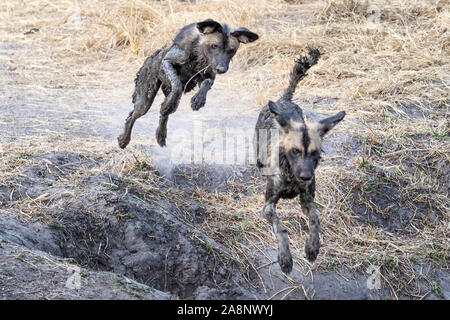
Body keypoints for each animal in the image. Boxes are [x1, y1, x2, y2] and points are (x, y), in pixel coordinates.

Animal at [118, 17, 258, 148]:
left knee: (164, 114)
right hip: (144, 102)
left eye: (231, 50)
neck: (199, 53)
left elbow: (206, 84)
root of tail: (153, 54)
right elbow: (177, 85)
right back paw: (123, 140)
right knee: (132, 117)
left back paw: (161, 135)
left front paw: (198, 100)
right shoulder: (167, 63)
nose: (221, 69)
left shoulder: (209, 75)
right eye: (214, 46)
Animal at [255, 48, 346, 274]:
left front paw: (312, 248)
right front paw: (285, 259)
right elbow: (281, 229)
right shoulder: (268, 206)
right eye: (295, 151)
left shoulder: (307, 200)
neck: (291, 176)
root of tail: (283, 100)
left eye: (315, 153)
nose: (305, 176)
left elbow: (315, 221)